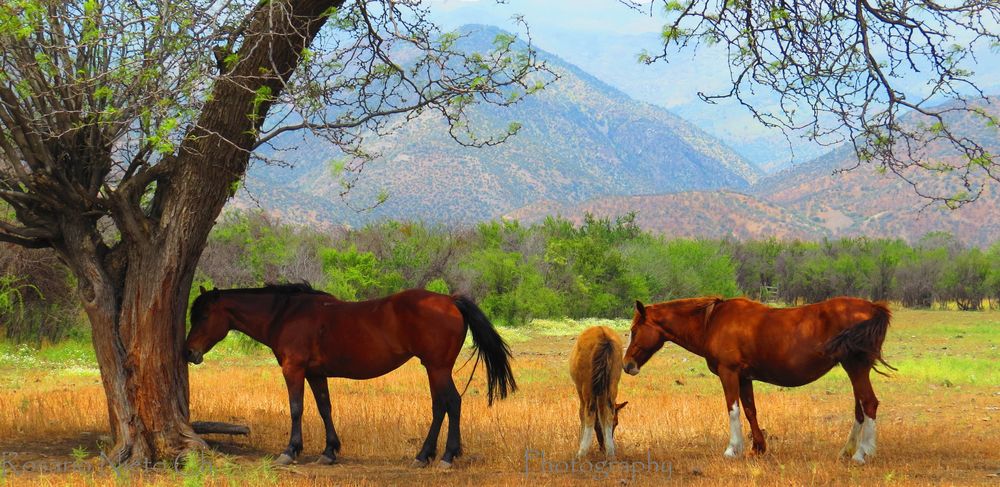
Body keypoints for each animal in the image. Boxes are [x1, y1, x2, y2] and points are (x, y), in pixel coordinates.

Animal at [184, 284, 520, 470]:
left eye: (203, 315)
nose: (189, 352)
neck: (286, 314)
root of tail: (451, 301)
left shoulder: (294, 369)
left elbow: (296, 409)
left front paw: (290, 451)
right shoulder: (315, 373)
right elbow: (324, 408)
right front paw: (329, 452)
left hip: (437, 368)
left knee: (450, 404)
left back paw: (444, 456)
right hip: (434, 368)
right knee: (443, 407)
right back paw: (428, 455)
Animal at [572, 330, 624, 460]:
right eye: (616, 423)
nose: (602, 449)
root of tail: (603, 335)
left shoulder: (580, 390)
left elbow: (582, 414)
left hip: (587, 387)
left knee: (589, 413)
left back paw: (581, 452)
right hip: (612, 383)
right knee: (608, 412)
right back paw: (610, 453)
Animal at [620, 296, 896, 464]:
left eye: (634, 330)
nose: (627, 365)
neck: (713, 322)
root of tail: (873, 308)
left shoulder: (729, 373)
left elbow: (732, 409)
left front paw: (733, 449)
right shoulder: (744, 378)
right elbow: (750, 410)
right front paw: (758, 447)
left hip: (856, 368)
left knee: (869, 404)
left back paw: (862, 454)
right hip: (855, 370)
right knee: (860, 409)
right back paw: (847, 451)